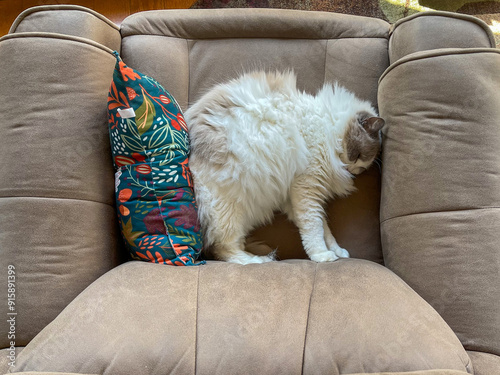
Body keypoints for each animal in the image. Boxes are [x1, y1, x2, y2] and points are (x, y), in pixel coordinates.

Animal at [184, 70, 382, 264]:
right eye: (358, 156)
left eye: (362, 168)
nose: (352, 171)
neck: (325, 124)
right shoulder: (307, 190)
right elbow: (314, 229)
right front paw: (321, 256)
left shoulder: (294, 196)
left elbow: (325, 230)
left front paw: (337, 251)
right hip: (228, 212)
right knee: (223, 249)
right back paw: (258, 260)